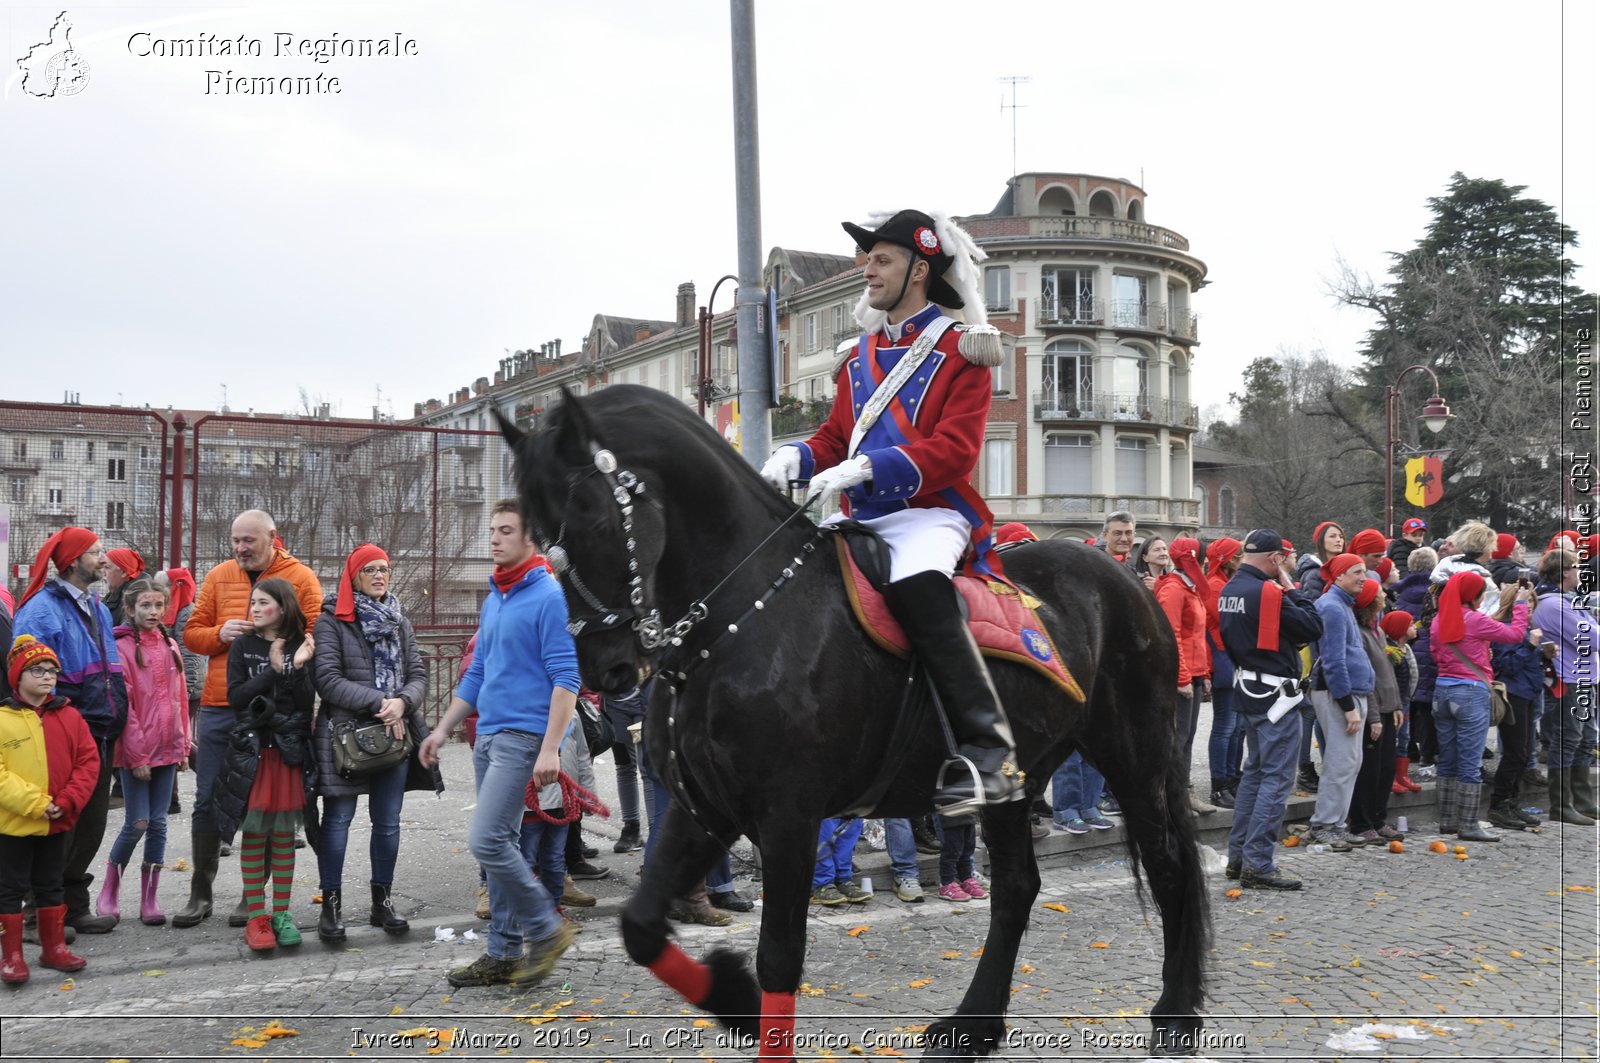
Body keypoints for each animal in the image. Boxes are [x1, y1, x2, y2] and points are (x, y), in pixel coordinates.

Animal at [499, 385, 1209, 1056]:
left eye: (588, 514)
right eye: (534, 528)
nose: (605, 668)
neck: (743, 615)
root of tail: (1127, 578)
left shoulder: (787, 817)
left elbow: (780, 959)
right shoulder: (705, 808)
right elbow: (641, 928)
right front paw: (732, 996)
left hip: (1134, 756)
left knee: (1170, 863)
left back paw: (1175, 1015)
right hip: (1019, 780)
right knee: (1015, 888)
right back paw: (973, 1026)